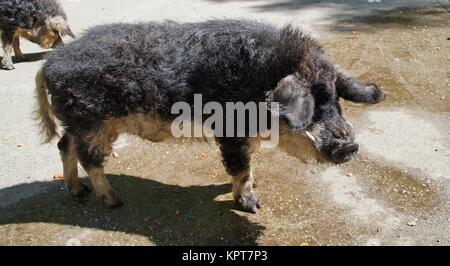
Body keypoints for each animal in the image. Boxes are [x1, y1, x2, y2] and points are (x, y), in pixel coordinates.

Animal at [34, 19, 384, 213]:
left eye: (336, 99)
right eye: (314, 101)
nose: (351, 146)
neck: (261, 84)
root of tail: (49, 64)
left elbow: (249, 165)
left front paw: (256, 183)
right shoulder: (230, 132)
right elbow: (240, 169)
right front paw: (253, 206)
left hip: (83, 123)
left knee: (64, 146)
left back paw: (78, 192)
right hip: (92, 122)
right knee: (89, 159)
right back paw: (113, 201)